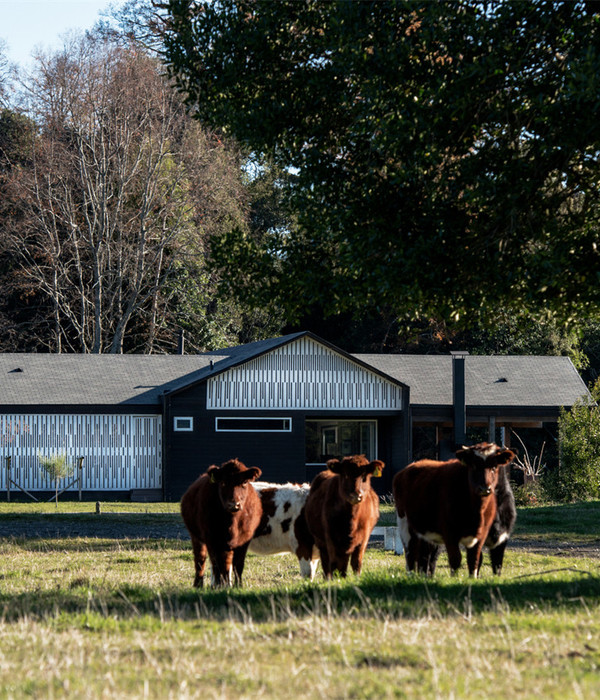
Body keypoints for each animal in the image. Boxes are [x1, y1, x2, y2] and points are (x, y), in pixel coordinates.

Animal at [179, 456, 262, 588]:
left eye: (244, 482)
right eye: (223, 482)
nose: (234, 504)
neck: (232, 523)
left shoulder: (244, 540)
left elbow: (238, 565)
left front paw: (238, 586)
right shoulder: (211, 539)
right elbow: (215, 563)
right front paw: (218, 585)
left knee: (226, 563)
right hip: (196, 537)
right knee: (200, 560)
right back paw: (199, 584)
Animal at [394, 446, 516, 576]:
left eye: (495, 467)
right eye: (473, 466)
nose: (485, 488)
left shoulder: (500, 540)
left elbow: (496, 565)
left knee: (427, 557)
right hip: (406, 526)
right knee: (412, 554)